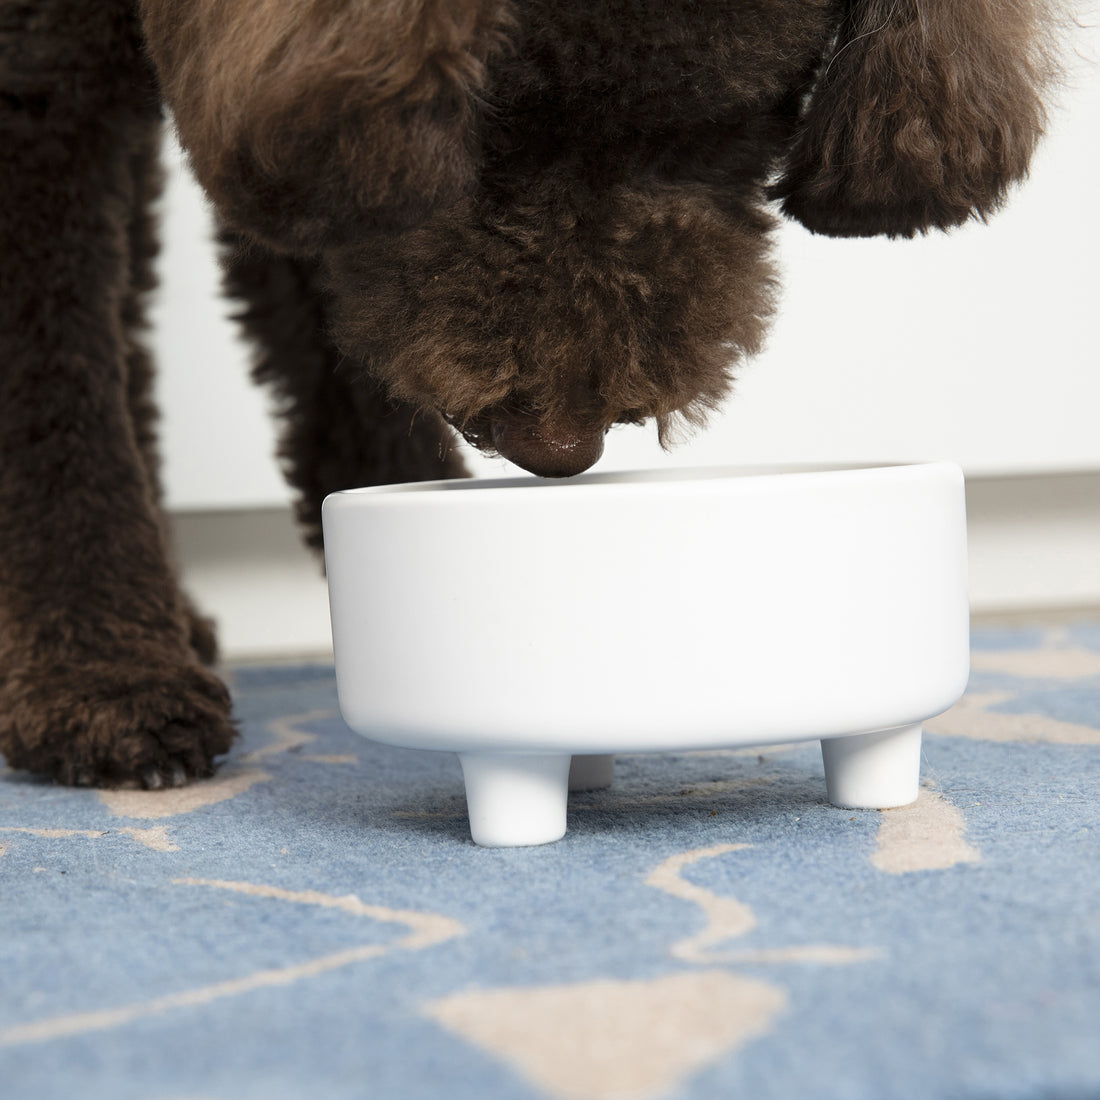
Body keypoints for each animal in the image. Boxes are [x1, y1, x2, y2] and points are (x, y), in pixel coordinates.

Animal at [4, 2, 1060, 792]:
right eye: (489, 124)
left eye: (736, 133)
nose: (563, 449)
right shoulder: (59, 100)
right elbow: (53, 401)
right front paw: (104, 681)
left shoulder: (296, 127)